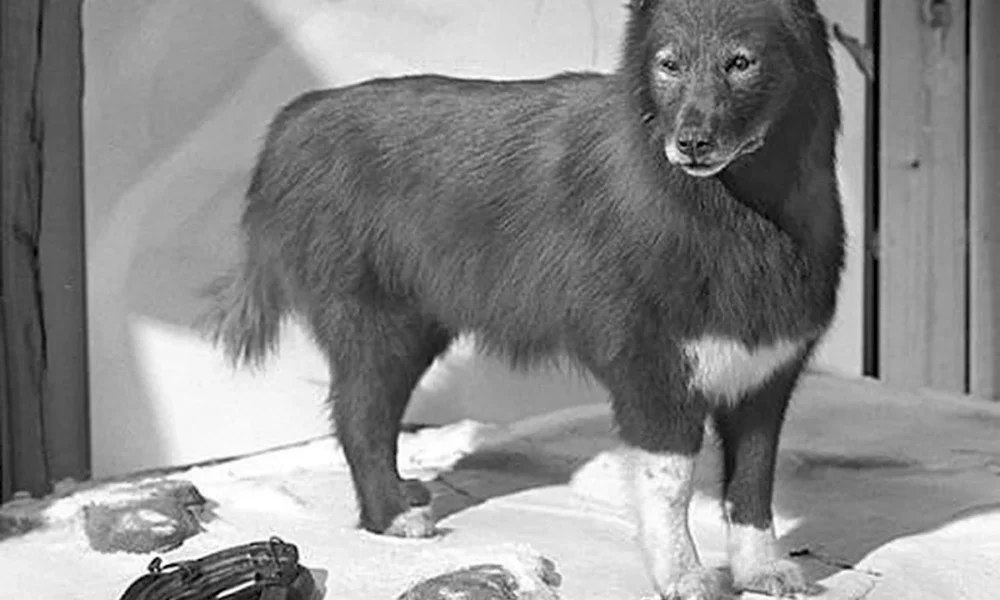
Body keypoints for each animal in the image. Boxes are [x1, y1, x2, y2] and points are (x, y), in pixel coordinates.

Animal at [203, 0, 843, 597]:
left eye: (741, 62)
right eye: (670, 65)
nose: (690, 143)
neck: (734, 213)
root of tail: (292, 122)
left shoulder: (765, 376)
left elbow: (754, 485)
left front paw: (761, 571)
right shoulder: (653, 372)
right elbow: (669, 487)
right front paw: (683, 577)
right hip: (376, 326)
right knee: (360, 418)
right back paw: (394, 517)